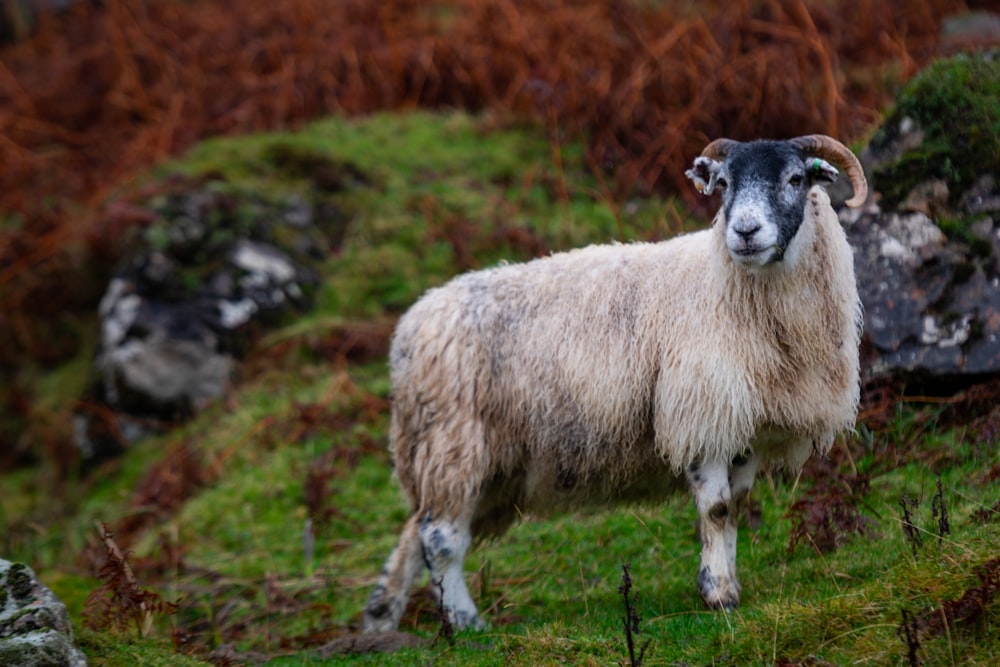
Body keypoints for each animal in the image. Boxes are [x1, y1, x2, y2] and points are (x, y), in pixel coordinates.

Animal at [362, 133, 868, 636]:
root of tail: (411, 327)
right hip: (455, 444)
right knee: (440, 537)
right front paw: (718, 593)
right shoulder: (699, 414)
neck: (721, 283)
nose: (744, 232)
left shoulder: (743, 427)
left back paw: (381, 617)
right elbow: (717, 509)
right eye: (723, 183)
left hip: (472, 462)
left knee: (417, 529)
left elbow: (737, 507)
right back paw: (465, 622)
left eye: (796, 179)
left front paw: (729, 584)